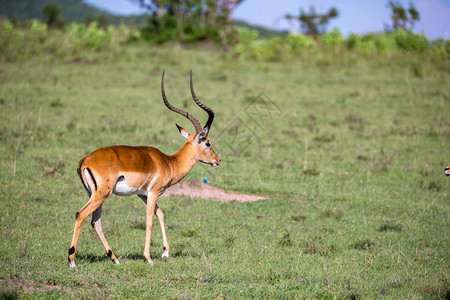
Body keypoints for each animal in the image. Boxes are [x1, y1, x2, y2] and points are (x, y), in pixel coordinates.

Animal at [67, 69, 221, 268]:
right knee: (81, 214)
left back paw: (114, 258)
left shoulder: (143, 194)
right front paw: (148, 257)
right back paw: (72, 261)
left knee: (95, 221)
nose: (218, 160)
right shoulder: (153, 192)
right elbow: (149, 221)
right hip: (101, 194)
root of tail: (84, 160)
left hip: (96, 195)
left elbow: (160, 214)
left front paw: (165, 253)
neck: (168, 162)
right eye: (208, 143)